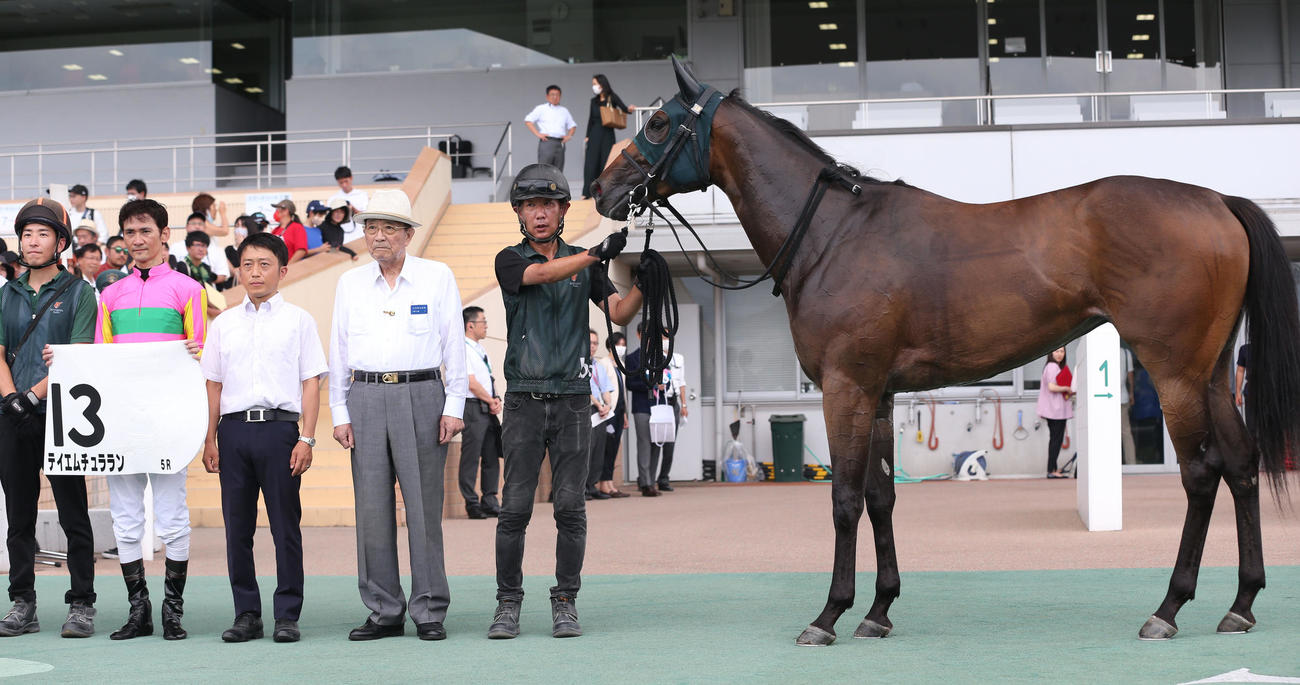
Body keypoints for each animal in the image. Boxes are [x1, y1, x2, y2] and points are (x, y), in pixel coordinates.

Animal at [591, 57, 1300, 646]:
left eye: (659, 122)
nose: (602, 190)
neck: (831, 233)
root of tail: (1217, 201)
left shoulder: (845, 386)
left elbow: (845, 498)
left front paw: (829, 615)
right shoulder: (877, 392)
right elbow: (880, 496)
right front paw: (878, 611)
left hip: (1175, 372)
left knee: (1203, 475)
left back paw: (1169, 608)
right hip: (1211, 372)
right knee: (1240, 466)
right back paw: (1241, 603)